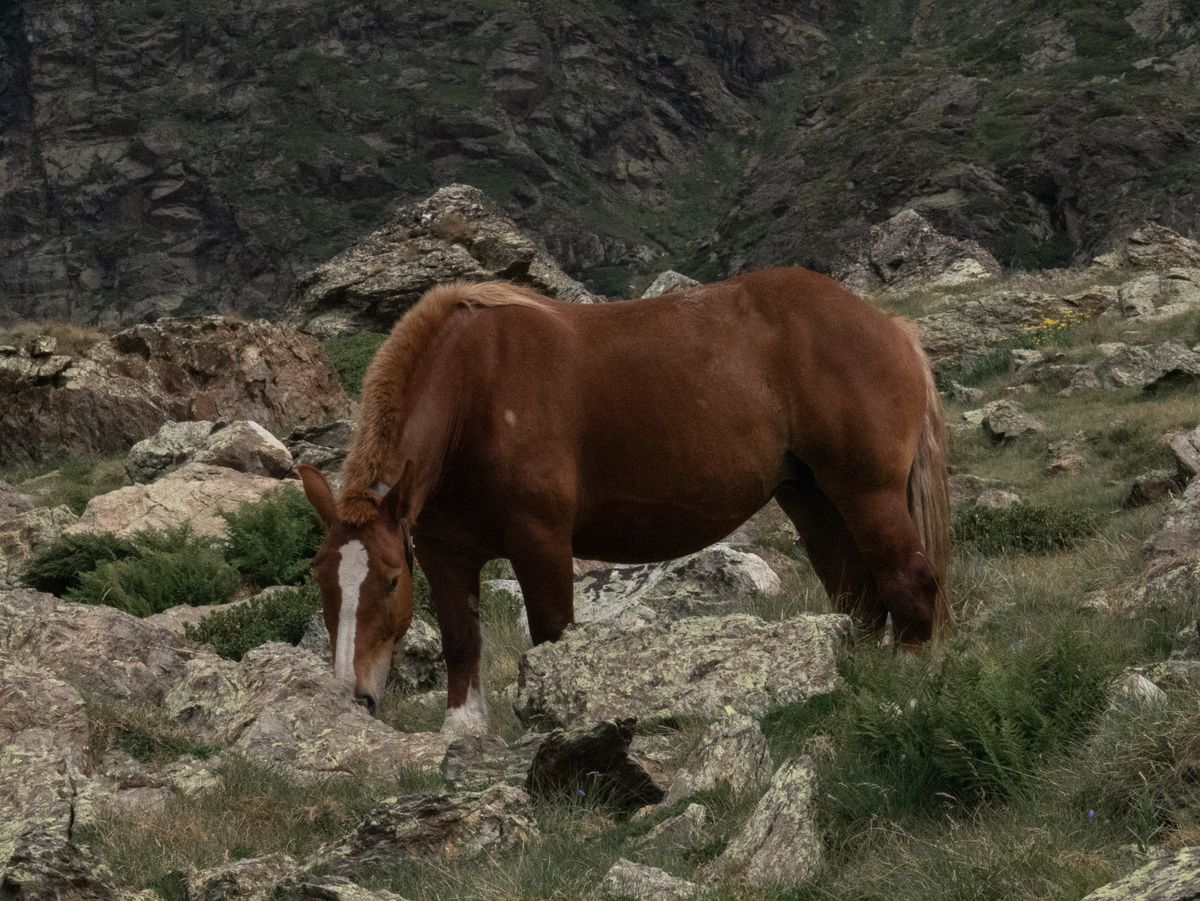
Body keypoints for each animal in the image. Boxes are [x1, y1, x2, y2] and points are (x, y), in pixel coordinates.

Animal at [298, 267, 951, 734]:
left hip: (867, 493)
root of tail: (890, 326)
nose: (354, 697)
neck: (477, 390)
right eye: (323, 579)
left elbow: (553, 639)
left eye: (388, 581)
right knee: (857, 595)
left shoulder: (540, 541)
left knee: (909, 580)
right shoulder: (443, 551)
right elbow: (461, 641)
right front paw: (463, 735)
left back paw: (911, 683)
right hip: (813, 499)